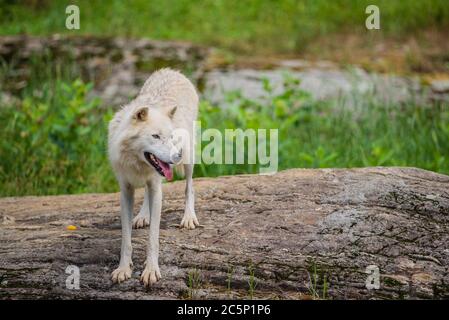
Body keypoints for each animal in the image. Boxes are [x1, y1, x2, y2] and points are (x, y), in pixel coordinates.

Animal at [107, 69, 198, 286]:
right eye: (156, 136)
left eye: (171, 136)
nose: (176, 156)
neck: (136, 162)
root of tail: (172, 70)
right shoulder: (126, 190)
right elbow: (126, 238)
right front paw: (123, 269)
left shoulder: (157, 187)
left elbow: (153, 238)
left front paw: (150, 271)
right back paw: (142, 216)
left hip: (189, 157)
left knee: (189, 187)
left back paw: (189, 217)